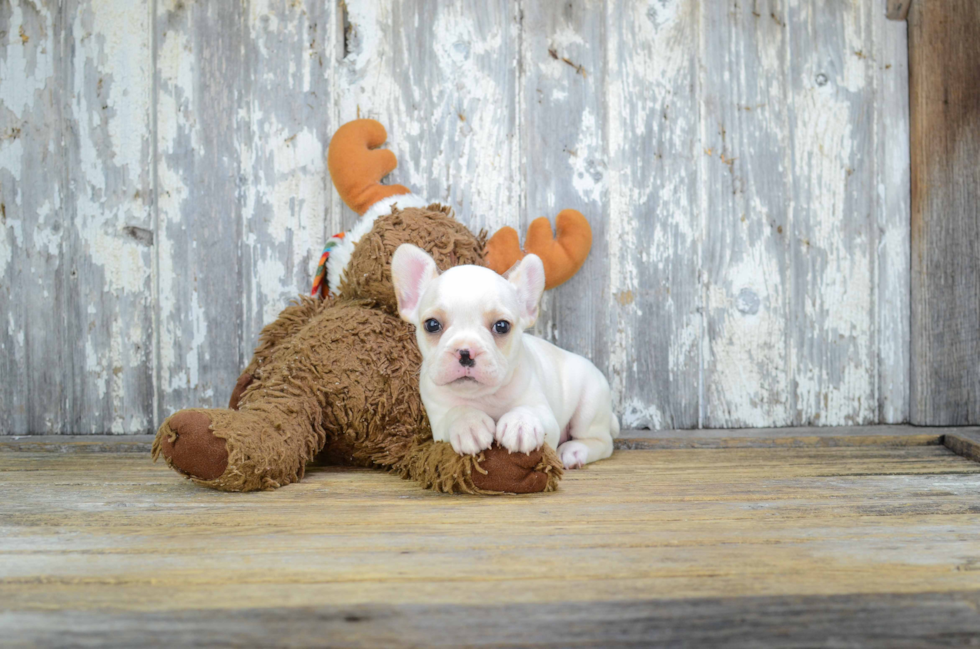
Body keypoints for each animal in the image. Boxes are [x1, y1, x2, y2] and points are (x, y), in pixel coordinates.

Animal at [390, 242, 620, 466]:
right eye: (432, 325)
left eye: (501, 326)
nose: (465, 351)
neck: (483, 395)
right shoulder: (438, 422)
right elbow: (456, 412)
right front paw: (469, 424)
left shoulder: (546, 415)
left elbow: (530, 410)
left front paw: (520, 423)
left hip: (589, 406)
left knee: (602, 442)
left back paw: (574, 451)